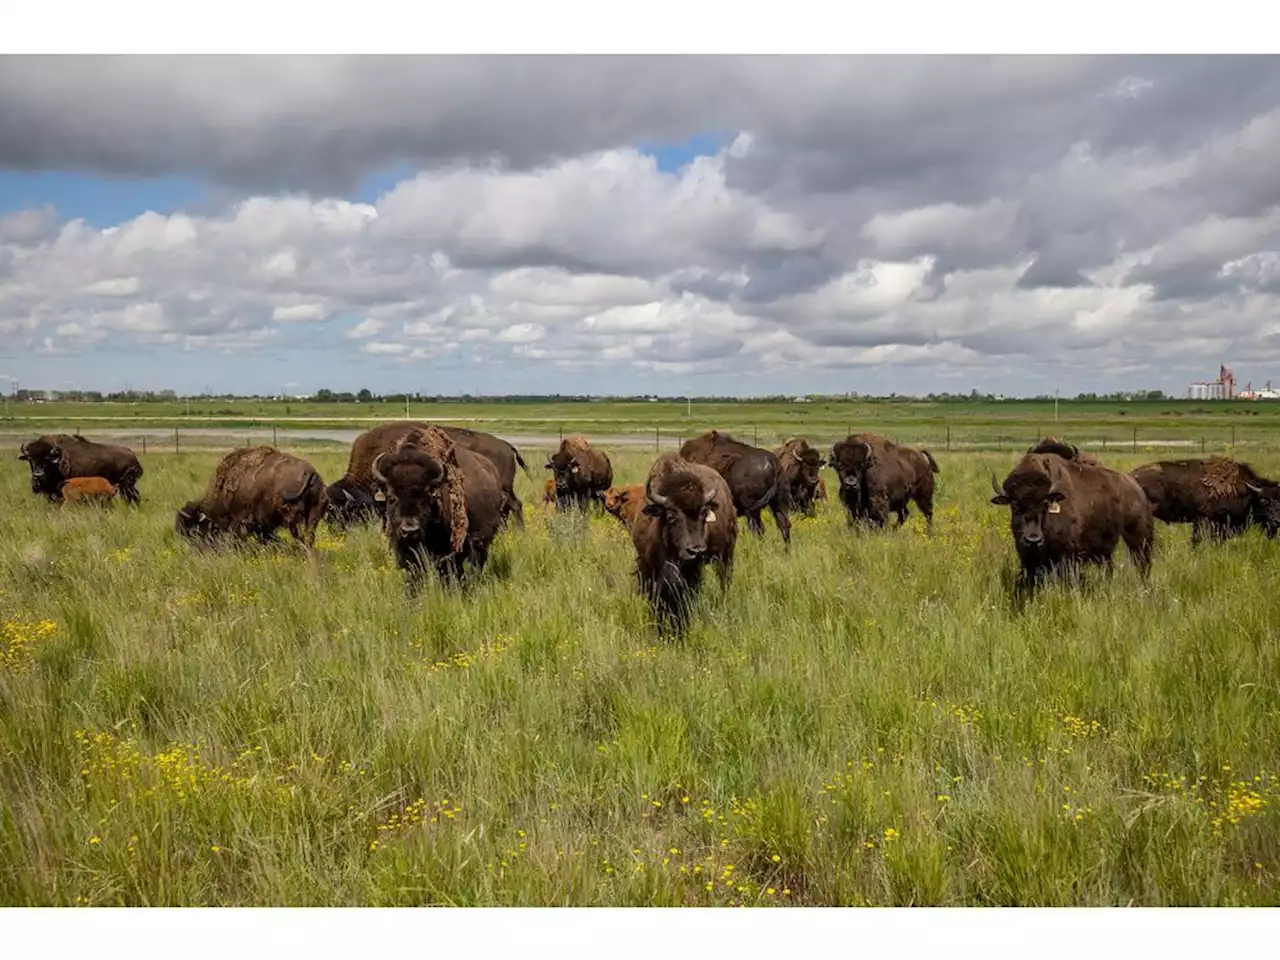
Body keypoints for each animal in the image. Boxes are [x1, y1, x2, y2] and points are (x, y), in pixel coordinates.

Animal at [176, 445, 330, 547]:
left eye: (194, 530)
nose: (198, 548)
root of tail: (310, 472)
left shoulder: (241, 521)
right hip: (312, 516)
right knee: (309, 537)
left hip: (292, 518)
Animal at [371, 427, 504, 591]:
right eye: (391, 496)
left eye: (427, 494)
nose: (410, 530)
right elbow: (413, 573)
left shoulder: (446, 551)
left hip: (481, 541)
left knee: (475, 564)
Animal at [983, 450, 1157, 593]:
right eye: (1014, 505)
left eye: (1045, 503)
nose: (1033, 539)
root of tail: (1137, 488)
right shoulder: (1028, 558)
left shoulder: (1067, 556)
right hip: (1107, 550)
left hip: (1139, 538)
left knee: (1142, 563)